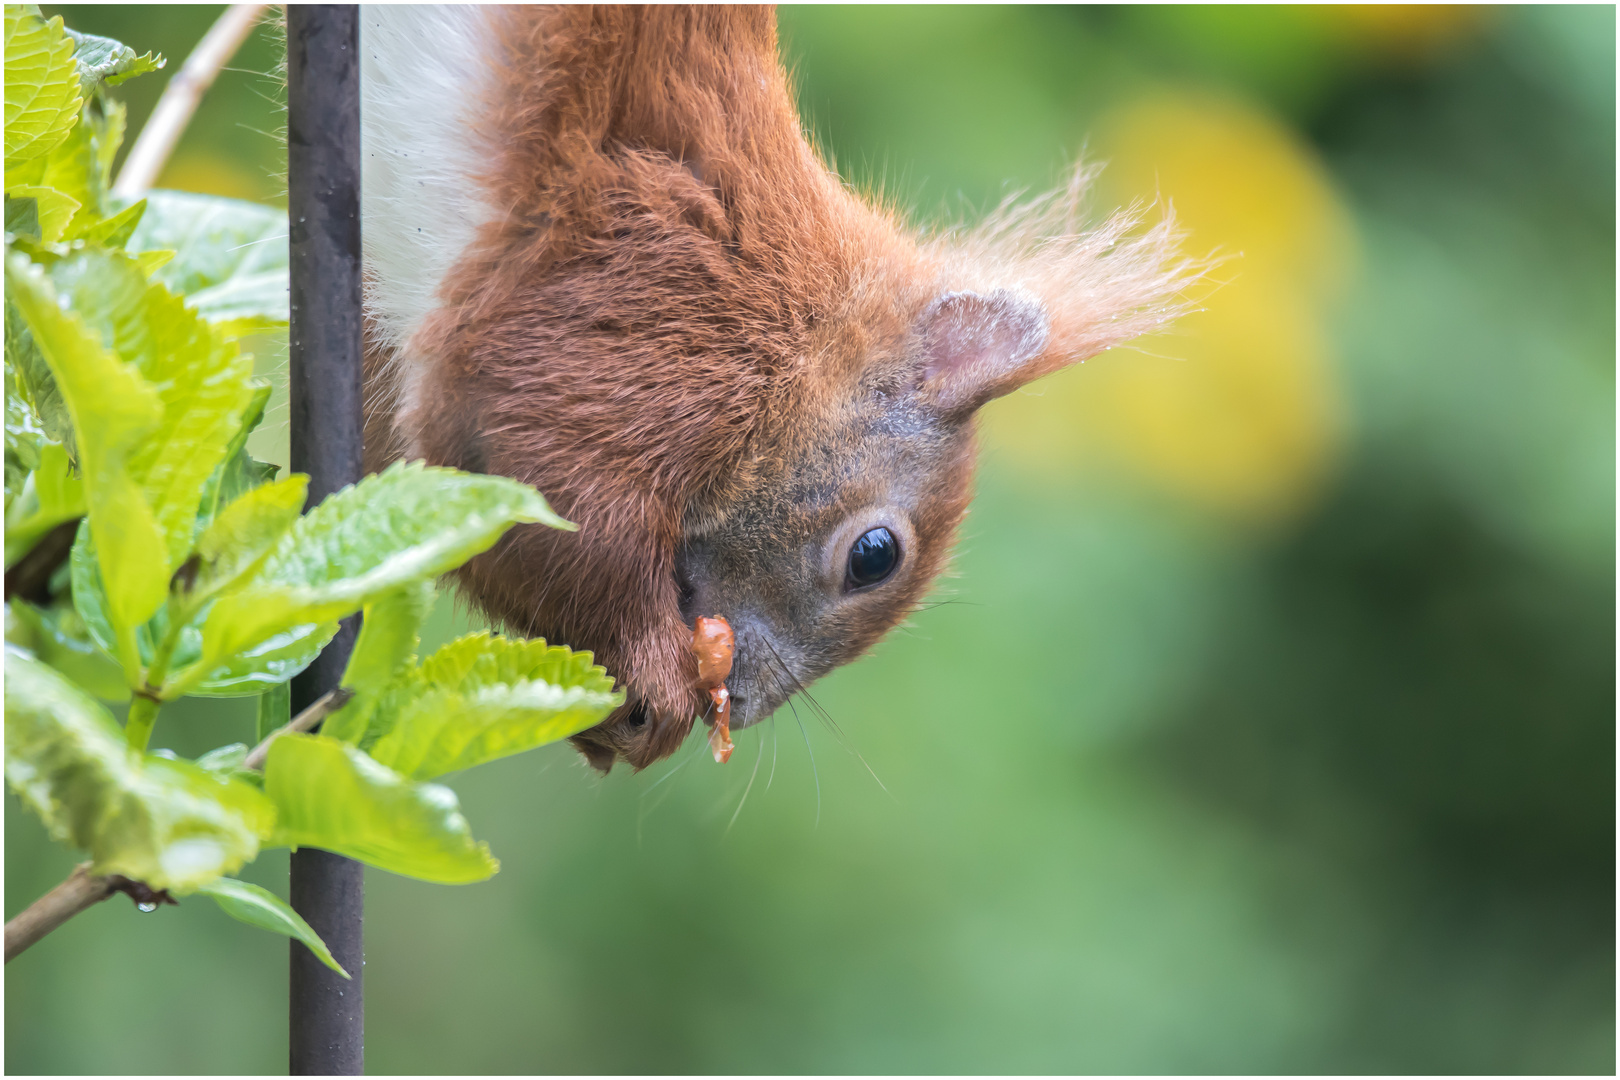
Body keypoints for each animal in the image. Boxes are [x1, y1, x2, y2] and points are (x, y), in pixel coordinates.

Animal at [358, 6, 1192, 767]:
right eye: (874, 556)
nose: (744, 701)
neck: (801, 338)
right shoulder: (639, 322)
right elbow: (528, 472)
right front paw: (649, 678)